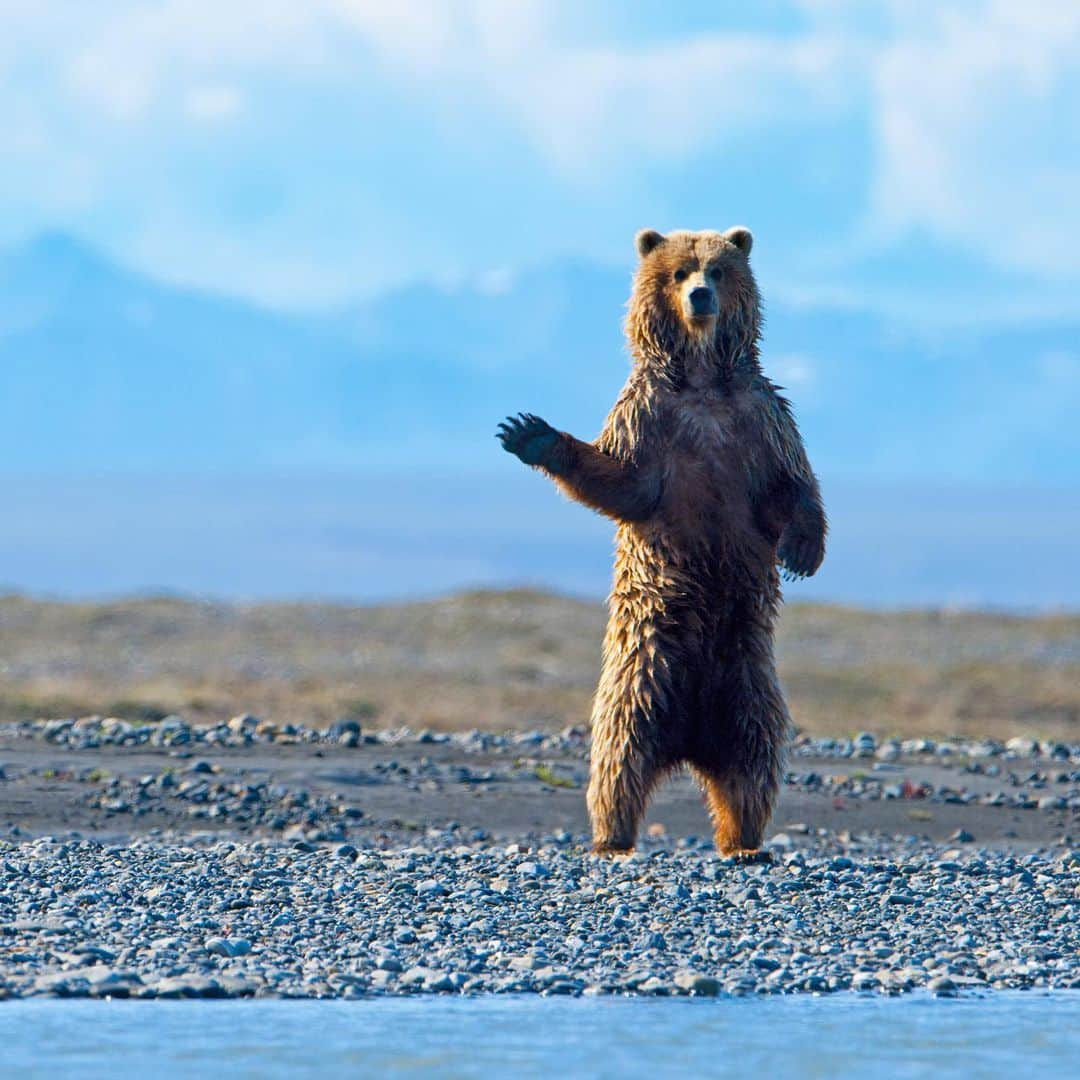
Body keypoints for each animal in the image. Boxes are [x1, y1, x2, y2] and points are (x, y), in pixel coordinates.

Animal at [496, 225, 825, 851]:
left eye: (717, 270)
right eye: (678, 272)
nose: (699, 296)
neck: (702, 382)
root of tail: (691, 740)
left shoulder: (761, 419)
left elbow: (793, 485)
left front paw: (803, 551)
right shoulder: (648, 417)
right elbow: (626, 482)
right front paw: (530, 433)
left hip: (746, 675)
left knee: (754, 756)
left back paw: (745, 839)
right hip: (645, 666)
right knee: (619, 756)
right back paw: (613, 836)